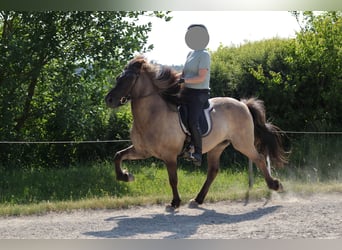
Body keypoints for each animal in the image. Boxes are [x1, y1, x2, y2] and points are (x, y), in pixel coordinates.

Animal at [105, 55, 288, 210]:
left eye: (128, 79)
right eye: (118, 78)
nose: (109, 100)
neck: (152, 115)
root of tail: (243, 104)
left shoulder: (169, 156)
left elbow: (173, 179)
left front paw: (175, 202)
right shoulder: (142, 151)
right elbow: (118, 156)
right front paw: (126, 176)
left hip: (242, 143)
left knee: (259, 159)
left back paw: (275, 185)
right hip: (217, 146)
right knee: (213, 171)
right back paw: (198, 199)